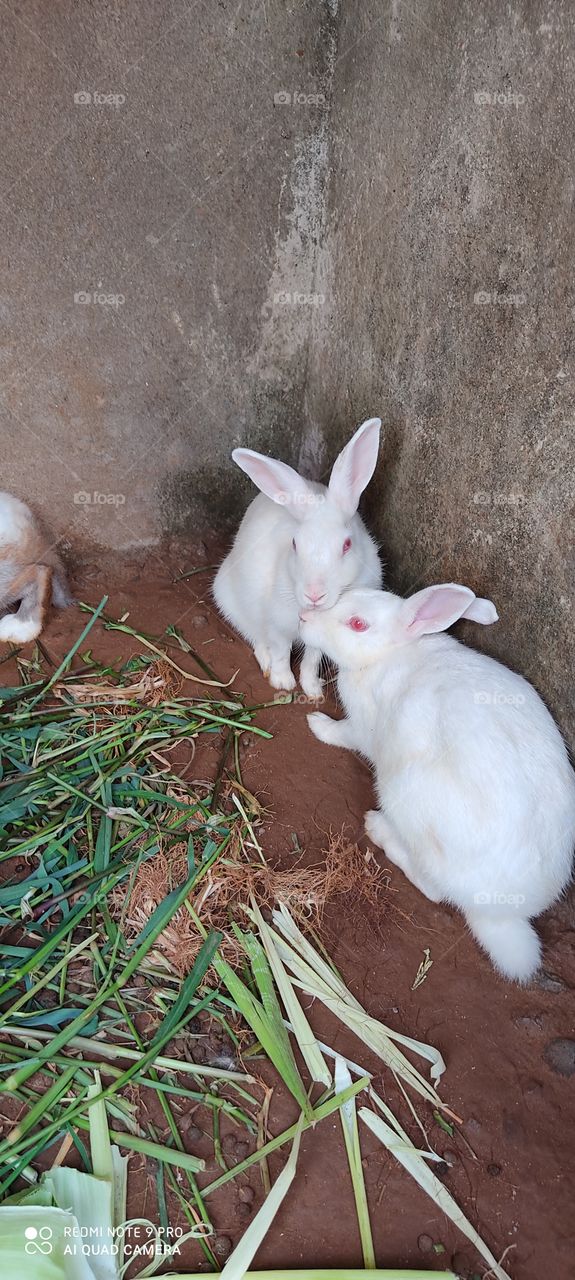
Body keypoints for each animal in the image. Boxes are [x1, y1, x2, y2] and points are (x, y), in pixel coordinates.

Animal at [213, 416, 383, 697]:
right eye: (295, 543)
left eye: (347, 545)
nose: (314, 595)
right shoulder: (277, 626)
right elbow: (281, 653)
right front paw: (282, 682)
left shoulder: (318, 639)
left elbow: (311, 660)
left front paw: (313, 690)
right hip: (233, 603)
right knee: (256, 637)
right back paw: (266, 663)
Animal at [301, 582, 575, 982]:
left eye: (357, 624)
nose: (303, 618)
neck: (389, 654)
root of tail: (503, 912)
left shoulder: (363, 729)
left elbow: (343, 734)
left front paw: (317, 724)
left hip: (404, 798)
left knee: (433, 889)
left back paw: (378, 828)